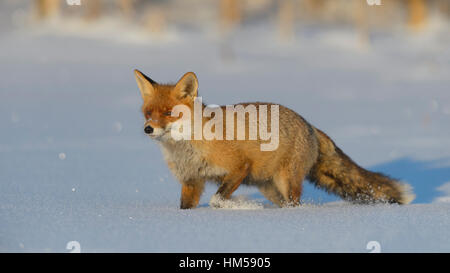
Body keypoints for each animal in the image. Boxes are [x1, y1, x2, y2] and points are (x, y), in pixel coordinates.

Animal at [134, 69, 414, 207]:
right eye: (148, 113)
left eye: (169, 113)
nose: (148, 129)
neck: (188, 148)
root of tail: (309, 124)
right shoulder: (192, 181)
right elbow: (186, 207)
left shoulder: (239, 166)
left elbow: (217, 199)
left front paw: (243, 207)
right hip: (269, 188)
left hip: (286, 182)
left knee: (294, 205)